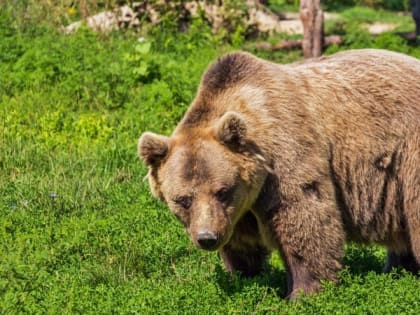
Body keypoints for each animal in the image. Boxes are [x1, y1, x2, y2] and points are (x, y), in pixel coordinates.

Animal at [139, 48, 420, 298]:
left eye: (222, 191)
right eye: (183, 199)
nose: (207, 238)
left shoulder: (286, 155)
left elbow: (303, 218)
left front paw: (303, 292)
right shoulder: (240, 208)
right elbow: (241, 242)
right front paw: (242, 275)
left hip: (409, 154)